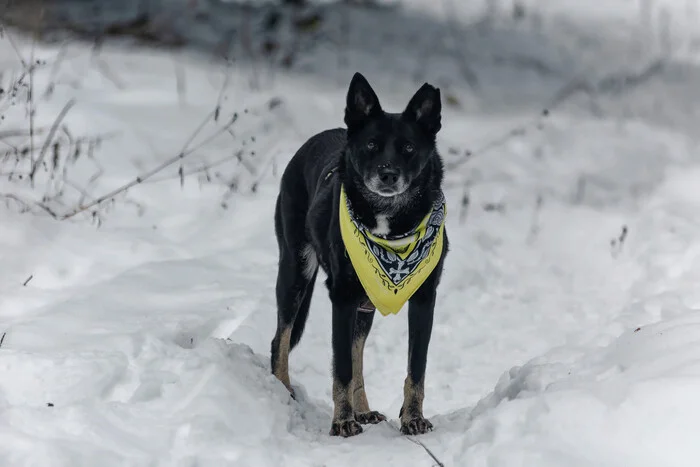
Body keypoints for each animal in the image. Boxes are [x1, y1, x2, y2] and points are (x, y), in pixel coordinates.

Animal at [268, 72, 448, 438]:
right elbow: (341, 369)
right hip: (295, 272)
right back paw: (284, 390)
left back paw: (363, 409)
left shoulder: (424, 299)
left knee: (356, 352)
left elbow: (415, 368)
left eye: (409, 148)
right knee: (280, 339)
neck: (390, 226)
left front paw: (412, 418)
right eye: (371, 146)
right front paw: (342, 422)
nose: (388, 174)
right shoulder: (342, 297)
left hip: (366, 303)